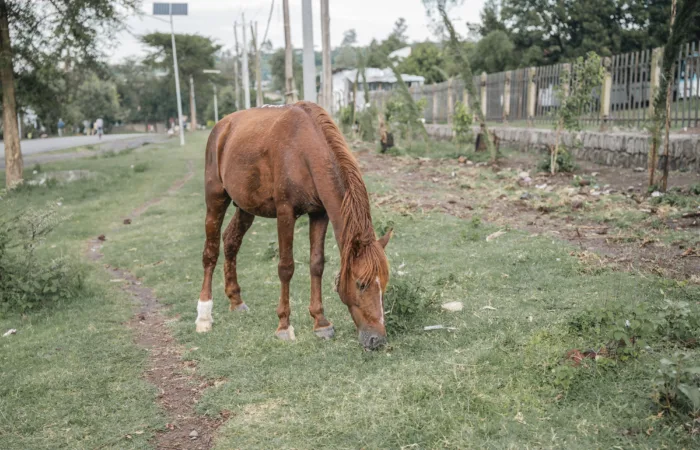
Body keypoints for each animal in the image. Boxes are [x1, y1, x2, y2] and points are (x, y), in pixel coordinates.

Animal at [195, 101, 392, 350]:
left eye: (384, 284)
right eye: (361, 284)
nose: (377, 339)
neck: (303, 149)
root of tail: (222, 126)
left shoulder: (319, 213)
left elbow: (316, 264)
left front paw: (321, 323)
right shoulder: (285, 213)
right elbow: (286, 268)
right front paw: (283, 326)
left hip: (245, 207)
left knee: (231, 242)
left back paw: (236, 300)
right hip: (215, 199)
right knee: (210, 253)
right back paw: (203, 316)